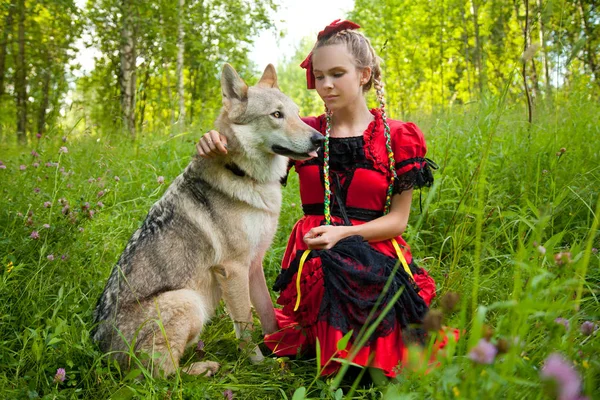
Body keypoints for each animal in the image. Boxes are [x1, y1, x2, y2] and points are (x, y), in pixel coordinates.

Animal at [91, 64, 324, 376]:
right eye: (277, 115)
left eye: (297, 113)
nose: (319, 140)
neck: (245, 175)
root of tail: (100, 353)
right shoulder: (233, 269)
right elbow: (245, 324)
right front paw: (257, 363)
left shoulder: (254, 264)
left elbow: (266, 314)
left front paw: (280, 352)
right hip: (188, 301)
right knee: (161, 375)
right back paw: (205, 369)